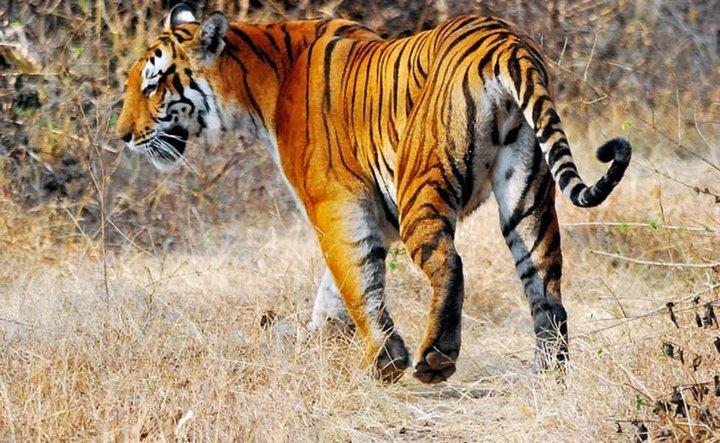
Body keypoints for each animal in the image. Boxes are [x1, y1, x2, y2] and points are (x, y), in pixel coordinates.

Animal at [116, 3, 631, 384]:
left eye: (153, 84)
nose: (122, 136)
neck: (256, 85)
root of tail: (504, 41)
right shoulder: (369, 213)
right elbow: (335, 289)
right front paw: (318, 341)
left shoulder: (334, 204)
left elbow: (355, 280)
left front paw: (385, 361)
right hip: (526, 192)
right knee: (545, 283)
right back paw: (550, 373)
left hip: (420, 183)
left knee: (450, 264)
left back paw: (435, 359)